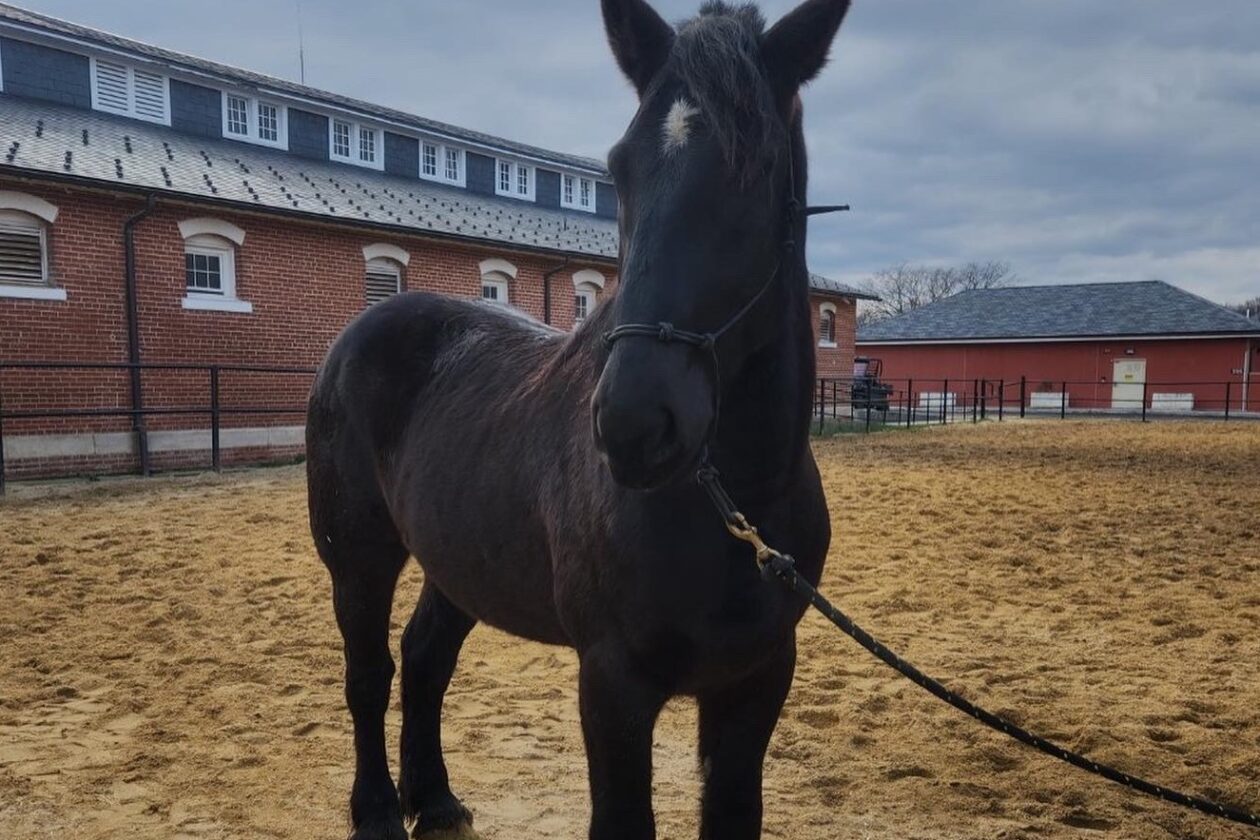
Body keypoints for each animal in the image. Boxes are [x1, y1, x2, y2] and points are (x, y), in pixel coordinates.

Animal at [305, 1, 851, 837]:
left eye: (758, 168)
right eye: (620, 167)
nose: (634, 423)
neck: (736, 506)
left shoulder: (758, 679)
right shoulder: (613, 683)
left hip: (458, 558)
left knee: (426, 658)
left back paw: (435, 801)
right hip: (358, 555)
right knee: (369, 673)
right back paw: (376, 813)